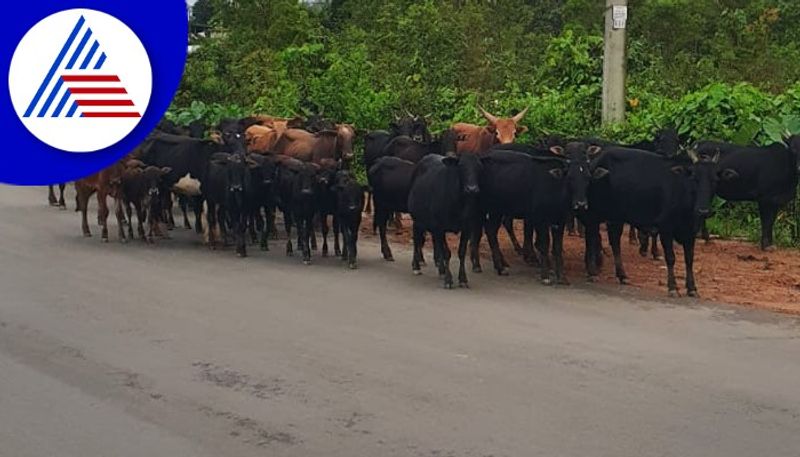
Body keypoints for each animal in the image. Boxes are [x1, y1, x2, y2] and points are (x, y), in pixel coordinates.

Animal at [406, 155, 482, 286]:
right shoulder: (439, 226)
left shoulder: (466, 227)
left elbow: (461, 252)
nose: (472, 189)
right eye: (461, 166)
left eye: (478, 166)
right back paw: (416, 266)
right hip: (417, 219)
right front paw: (448, 279)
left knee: (434, 242)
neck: (458, 203)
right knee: (417, 239)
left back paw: (441, 269)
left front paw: (462, 279)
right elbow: (446, 253)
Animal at [584, 148, 720, 298]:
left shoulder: (690, 232)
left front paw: (692, 288)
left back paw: (622, 275)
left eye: (714, 180)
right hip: (593, 213)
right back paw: (592, 272)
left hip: (616, 217)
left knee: (614, 242)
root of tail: (595, 160)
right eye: (694, 179)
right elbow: (670, 258)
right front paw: (672, 287)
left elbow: (689, 259)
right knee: (591, 238)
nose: (703, 210)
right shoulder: (666, 228)